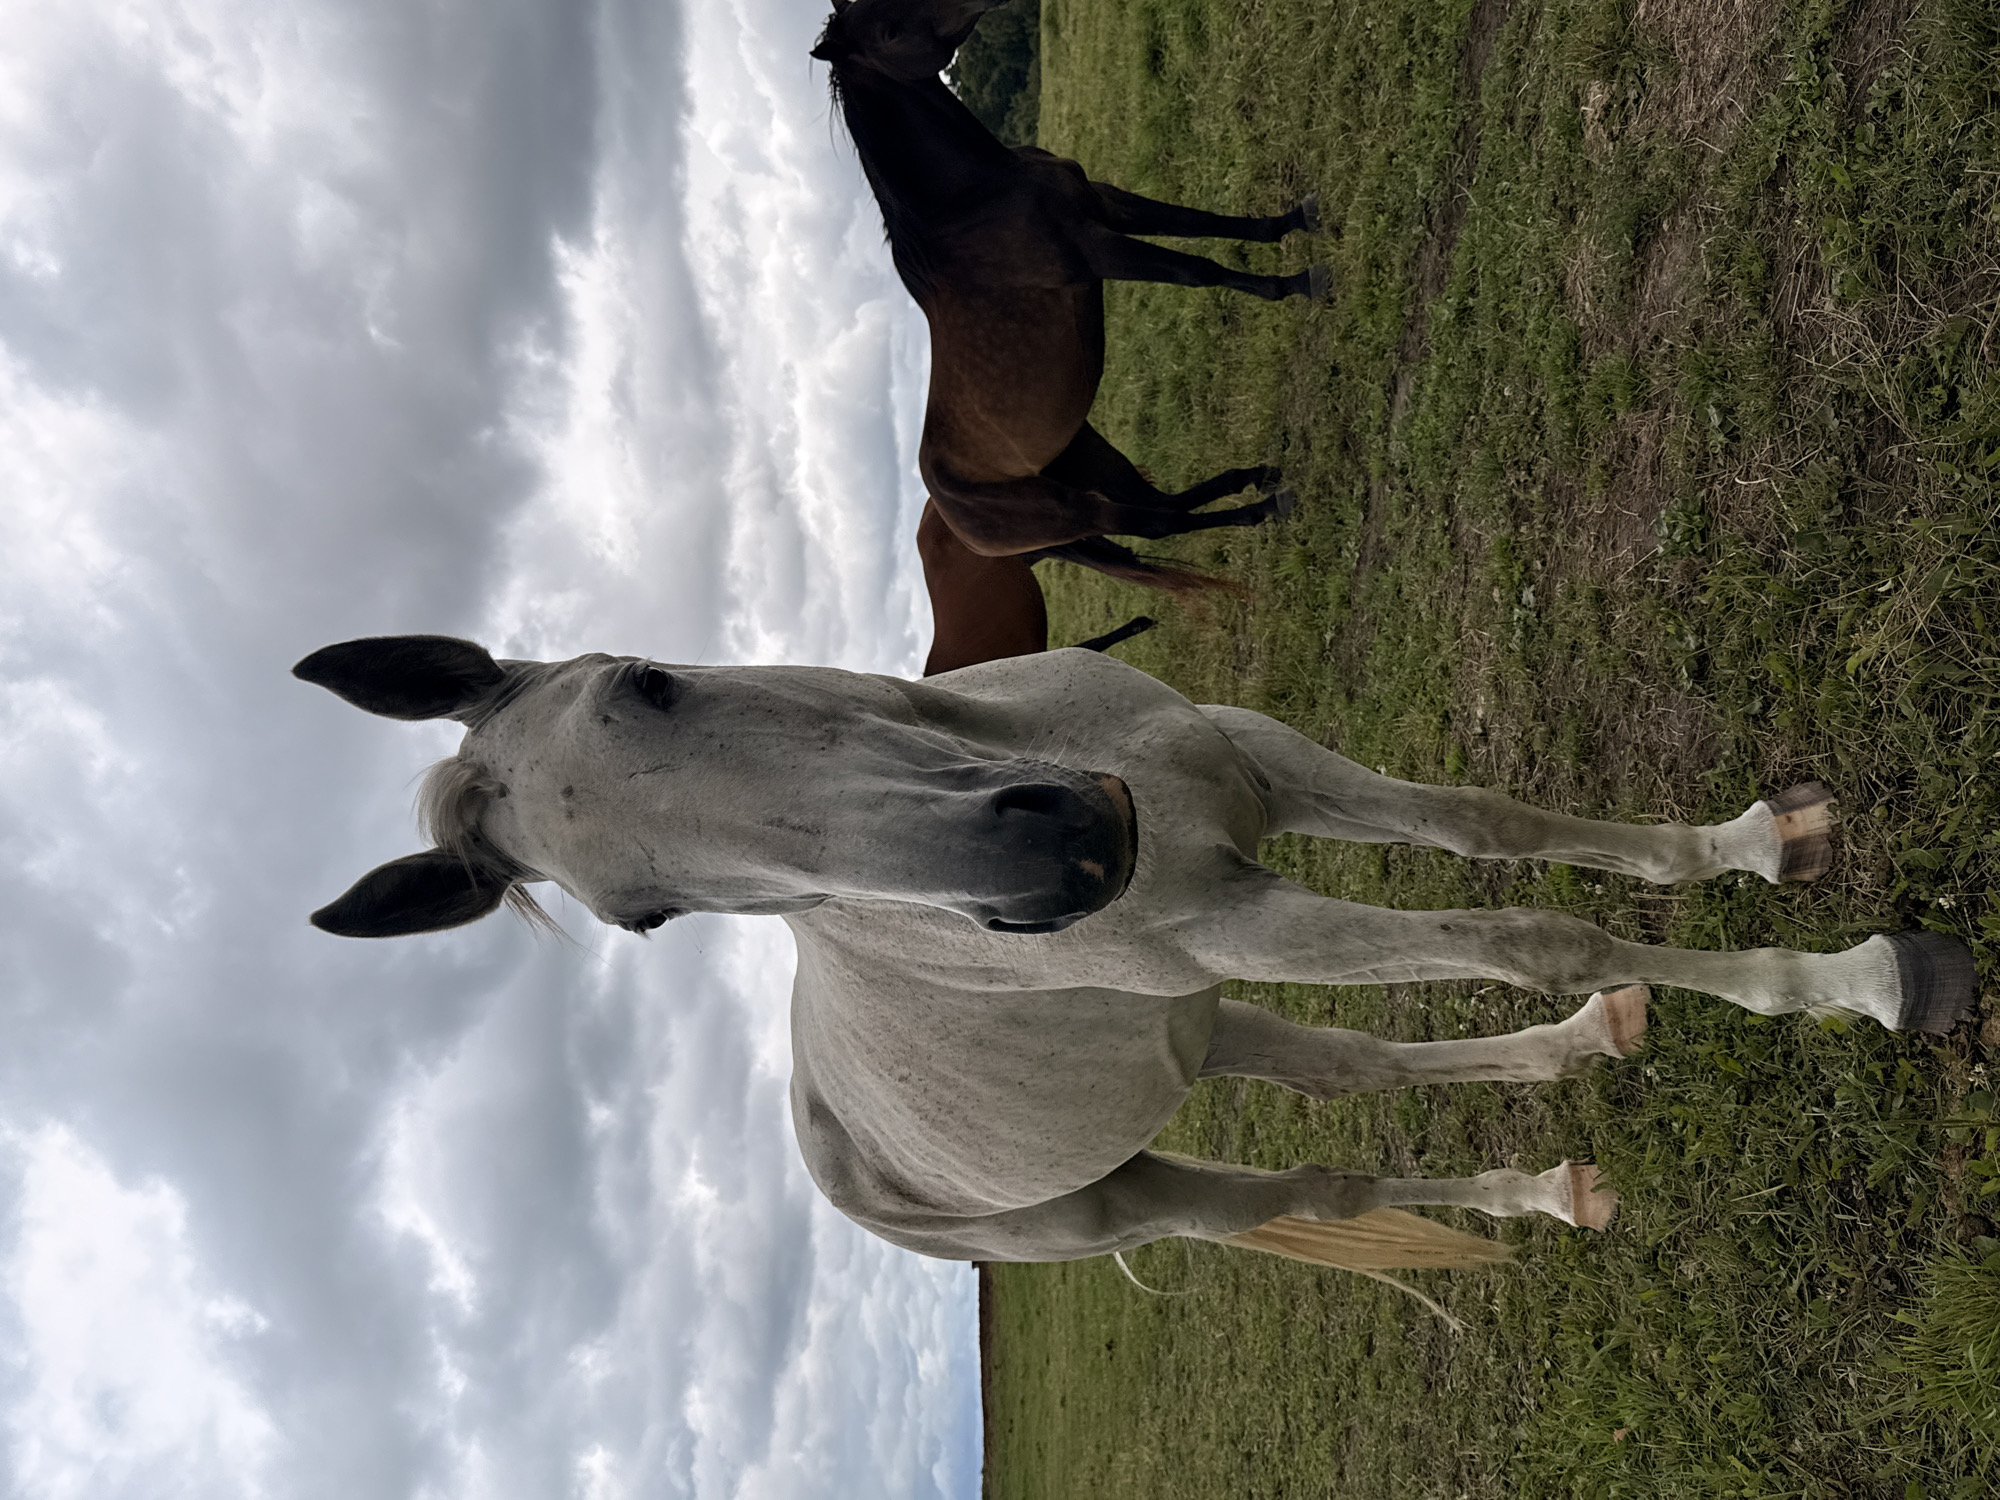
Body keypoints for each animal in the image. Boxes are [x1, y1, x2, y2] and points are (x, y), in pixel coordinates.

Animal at [295, 636, 1976, 1274]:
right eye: (645, 918)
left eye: (651, 681)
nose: (1057, 863)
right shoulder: (1237, 912)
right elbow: (1521, 928)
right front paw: (1865, 981)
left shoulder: (1264, 771)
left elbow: (1492, 830)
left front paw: (1759, 844)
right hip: (1143, 1187)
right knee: (1328, 1183)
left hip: (1197, 1030)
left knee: (1361, 1073)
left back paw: (1569, 1123)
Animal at [812, 0, 1323, 597]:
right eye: (889, 31)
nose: (979, 2)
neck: (972, 201)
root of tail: (955, 520)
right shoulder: (1096, 249)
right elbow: (1200, 270)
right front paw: (1299, 282)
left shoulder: (1108, 205)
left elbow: (1208, 224)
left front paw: (1294, 221)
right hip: (1072, 511)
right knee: (1156, 522)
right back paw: (1265, 506)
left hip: (1092, 456)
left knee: (1161, 502)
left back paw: (1255, 477)